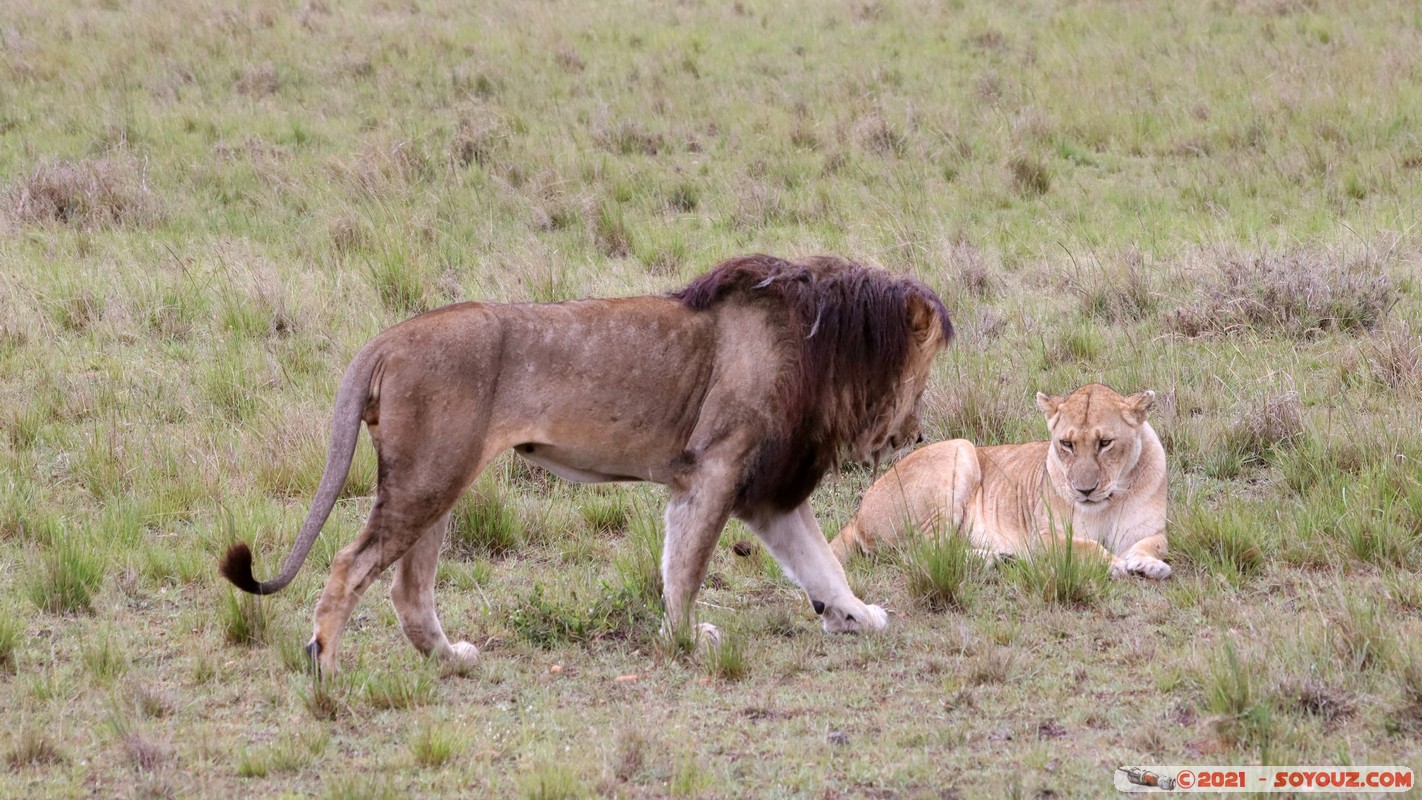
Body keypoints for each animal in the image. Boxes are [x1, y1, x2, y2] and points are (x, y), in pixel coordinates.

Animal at [221, 252, 949, 673]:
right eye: (923, 378)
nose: (914, 434)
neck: (823, 350)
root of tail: (390, 337)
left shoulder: (765, 489)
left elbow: (820, 562)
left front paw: (855, 615)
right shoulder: (716, 467)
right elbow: (686, 568)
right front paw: (686, 640)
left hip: (438, 479)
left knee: (407, 587)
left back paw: (451, 659)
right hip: (430, 476)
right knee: (351, 565)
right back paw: (325, 665)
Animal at [830, 383, 1166, 579]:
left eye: (1105, 443)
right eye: (1067, 444)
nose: (1084, 490)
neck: (1110, 500)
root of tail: (857, 513)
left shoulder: (1151, 530)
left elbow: (1153, 545)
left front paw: (1149, 564)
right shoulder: (1044, 538)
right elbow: (1086, 547)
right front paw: (1114, 564)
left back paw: (1000, 557)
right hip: (961, 450)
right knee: (923, 554)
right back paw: (992, 559)